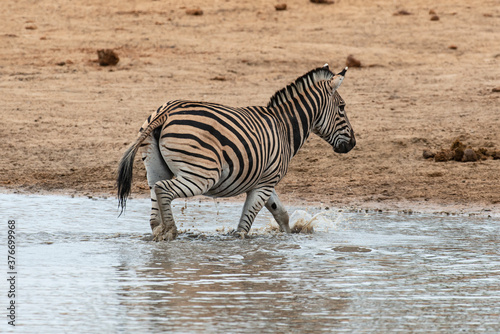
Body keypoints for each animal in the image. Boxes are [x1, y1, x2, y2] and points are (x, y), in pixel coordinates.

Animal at [117, 64, 356, 240]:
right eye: (342, 107)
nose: (353, 143)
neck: (284, 127)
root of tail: (166, 112)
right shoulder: (264, 184)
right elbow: (244, 226)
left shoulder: (266, 181)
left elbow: (282, 214)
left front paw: (289, 237)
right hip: (202, 174)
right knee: (164, 189)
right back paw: (172, 231)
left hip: (155, 168)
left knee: (155, 201)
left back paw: (160, 232)